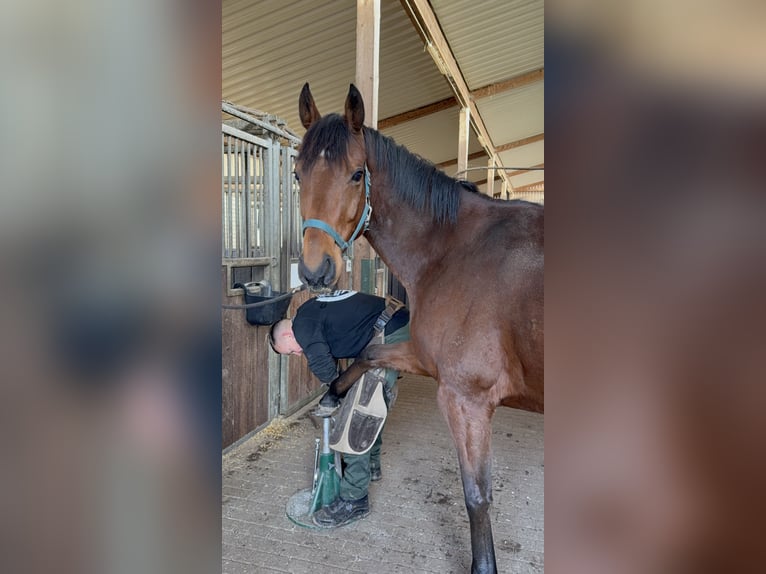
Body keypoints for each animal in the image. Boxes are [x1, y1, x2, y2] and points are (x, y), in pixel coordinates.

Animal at [295, 82, 544, 574]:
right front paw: (334, 394)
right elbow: (370, 352)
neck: (454, 250)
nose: (315, 273)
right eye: (297, 174)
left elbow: (477, 496)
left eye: (357, 175)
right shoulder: (426, 360)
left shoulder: (465, 400)